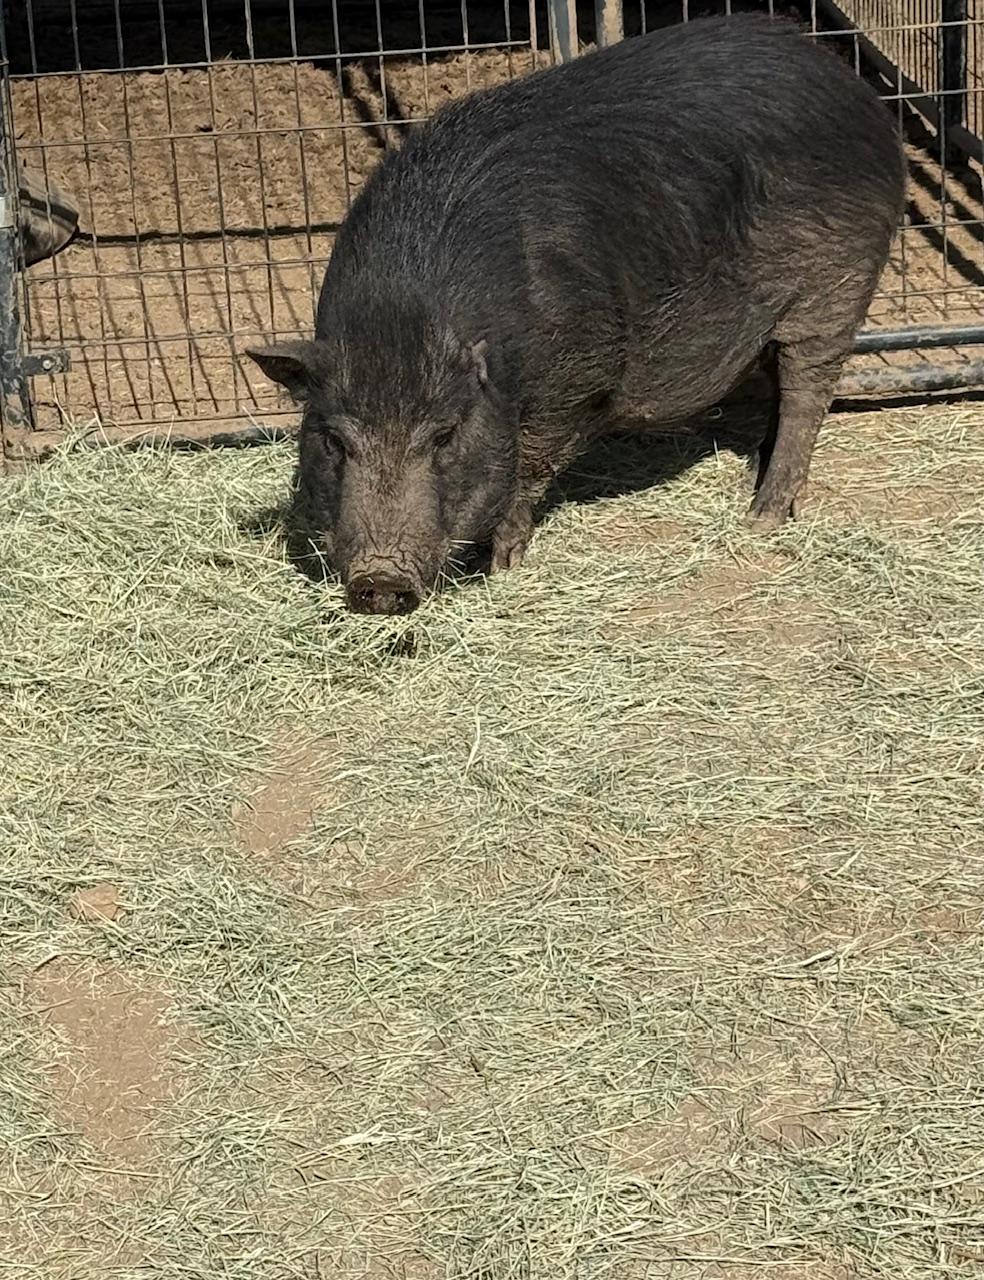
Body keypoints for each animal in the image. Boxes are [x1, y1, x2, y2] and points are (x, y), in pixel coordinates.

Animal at [247, 13, 906, 615]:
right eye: (334, 439)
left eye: (445, 435)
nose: (380, 580)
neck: (406, 307)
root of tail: (850, 84)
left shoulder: (579, 374)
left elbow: (530, 465)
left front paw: (503, 564)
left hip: (834, 287)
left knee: (806, 393)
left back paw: (761, 517)